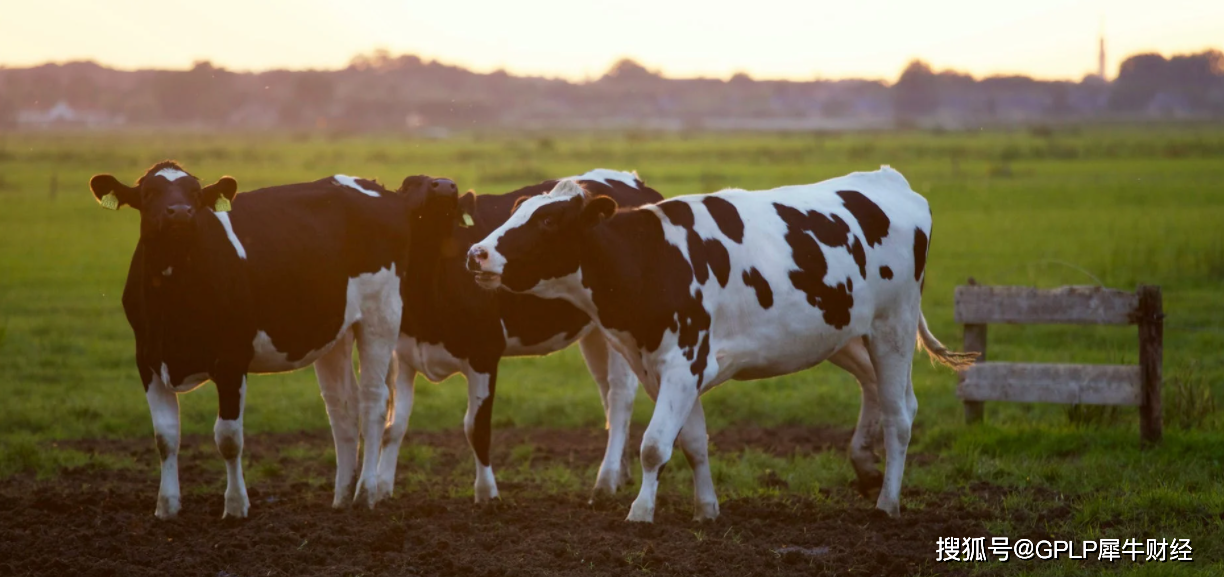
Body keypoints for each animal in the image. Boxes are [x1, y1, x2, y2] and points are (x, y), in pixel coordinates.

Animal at [88, 162, 457, 519]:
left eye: (195, 193)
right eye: (149, 193)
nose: (179, 212)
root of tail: (382, 190)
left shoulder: (232, 360)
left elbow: (228, 437)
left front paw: (236, 506)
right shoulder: (147, 359)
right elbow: (165, 437)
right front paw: (166, 507)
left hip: (381, 315)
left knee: (373, 402)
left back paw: (365, 493)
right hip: (334, 331)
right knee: (342, 407)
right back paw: (341, 496)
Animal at [369, 169, 665, 504]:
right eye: (409, 184)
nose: (445, 185)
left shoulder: (484, 353)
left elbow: (476, 428)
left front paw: (487, 494)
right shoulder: (403, 354)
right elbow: (394, 426)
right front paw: (382, 489)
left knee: (619, 398)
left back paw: (606, 480)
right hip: (597, 333)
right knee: (607, 395)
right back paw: (621, 473)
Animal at [465, 166, 974, 524]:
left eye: (549, 221)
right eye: (517, 210)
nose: (476, 253)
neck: (651, 259)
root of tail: (889, 180)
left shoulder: (683, 362)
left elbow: (654, 445)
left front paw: (640, 512)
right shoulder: (665, 369)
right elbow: (692, 443)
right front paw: (706, 508)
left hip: (893, 326)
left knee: (899, 415)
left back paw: (887, 502)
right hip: (844, 333)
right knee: (884, 393)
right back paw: (866, 469)